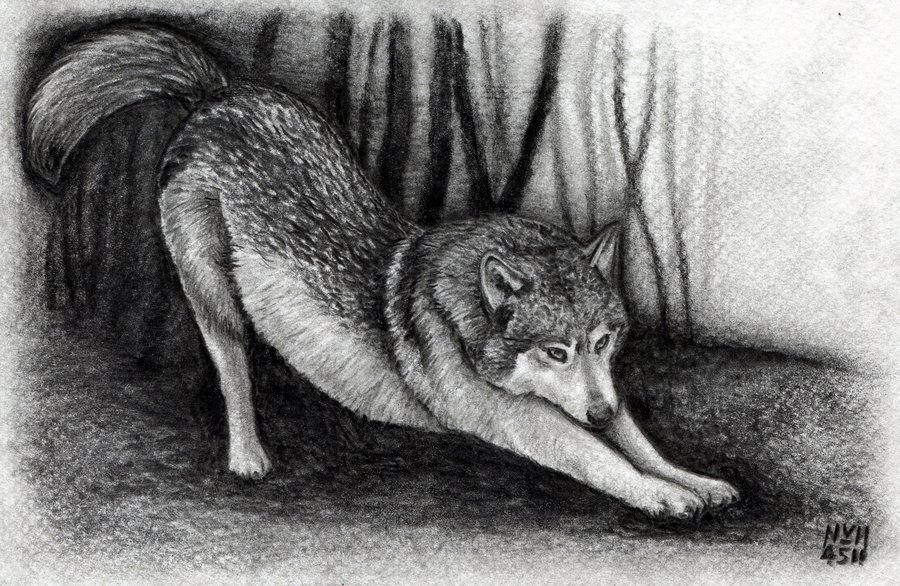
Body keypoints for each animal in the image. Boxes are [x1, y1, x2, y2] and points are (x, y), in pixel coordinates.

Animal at [26, 23, 738, 518]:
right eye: (555, 351)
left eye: (601, 342)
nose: (596, 410)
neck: (465, 311)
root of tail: (218, 93)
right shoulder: (517, 418)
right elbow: (600, 459)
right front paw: (662, 498)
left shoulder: (599, 391)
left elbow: (640, 444)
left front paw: (696, 481)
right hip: (213, 296)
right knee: (232, 373)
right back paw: (249, 456)